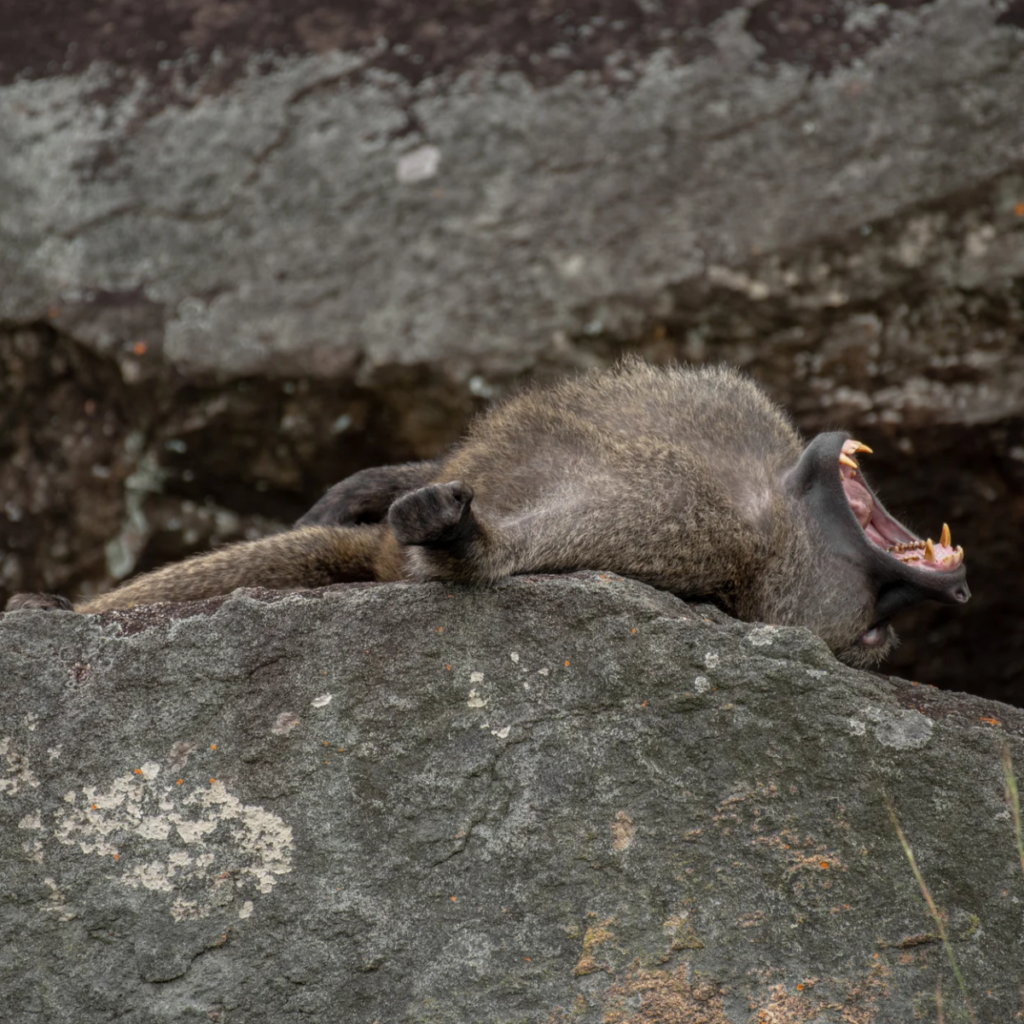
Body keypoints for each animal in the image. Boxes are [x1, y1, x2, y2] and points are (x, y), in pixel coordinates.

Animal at [5, 361, 969, 669]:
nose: (952, 592)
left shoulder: (692, 530)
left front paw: (462, 538)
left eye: (880, 618)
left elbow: (520, 548)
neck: (769, 500)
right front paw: (370, 484)